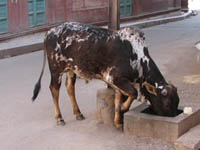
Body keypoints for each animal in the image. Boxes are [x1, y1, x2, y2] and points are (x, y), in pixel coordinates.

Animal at [31, 22, 180, 129]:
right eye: (167, 104)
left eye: (177, 102)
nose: (173, 117)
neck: (137, 57)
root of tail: (50, 31)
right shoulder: (114, 78)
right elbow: (132, 93)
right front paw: (122, 109)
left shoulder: (118, 82)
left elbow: (120, 97)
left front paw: (118, 121)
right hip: (56, 69)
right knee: (54, 89)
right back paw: (59, 118)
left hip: (71, 69)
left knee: (69, 88)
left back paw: (78, 113)